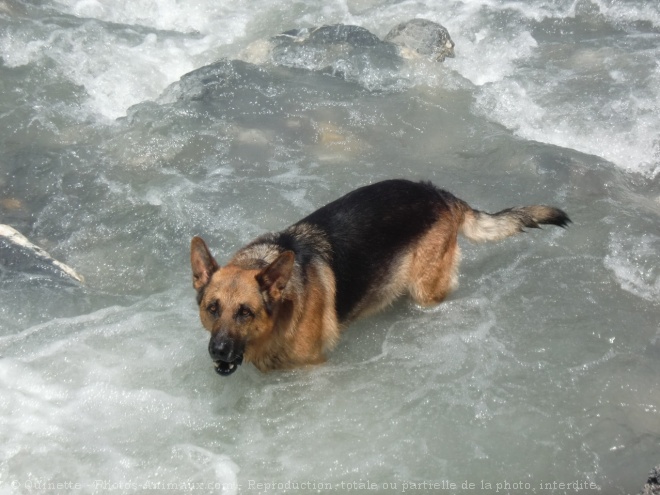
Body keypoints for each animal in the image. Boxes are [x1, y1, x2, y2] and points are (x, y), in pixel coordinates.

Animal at [189, 180, 568, 378]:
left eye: (245, 312)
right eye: (212, 308)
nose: (218, 350)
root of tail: (441, 194)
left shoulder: (313, 366)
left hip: (426, 290)